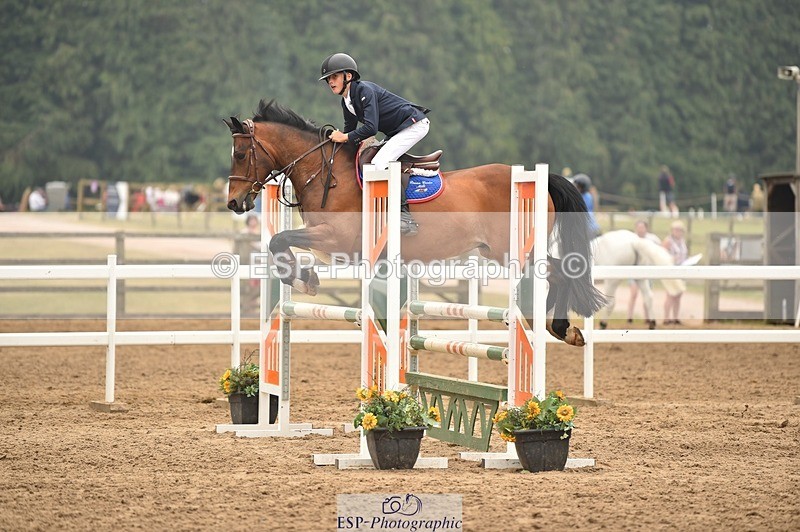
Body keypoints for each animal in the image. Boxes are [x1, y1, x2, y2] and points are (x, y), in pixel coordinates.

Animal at [224, 99, 606, 346]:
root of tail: (536, 179)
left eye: (241, 154)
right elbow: (280, 243)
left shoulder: (336, 238)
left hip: (513, 251)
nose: (234, 203)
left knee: (560, 272)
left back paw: (558, 328)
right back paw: (556, 328)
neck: (326, 172)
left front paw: (302, 280)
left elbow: (279, 240)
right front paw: (304, 277)